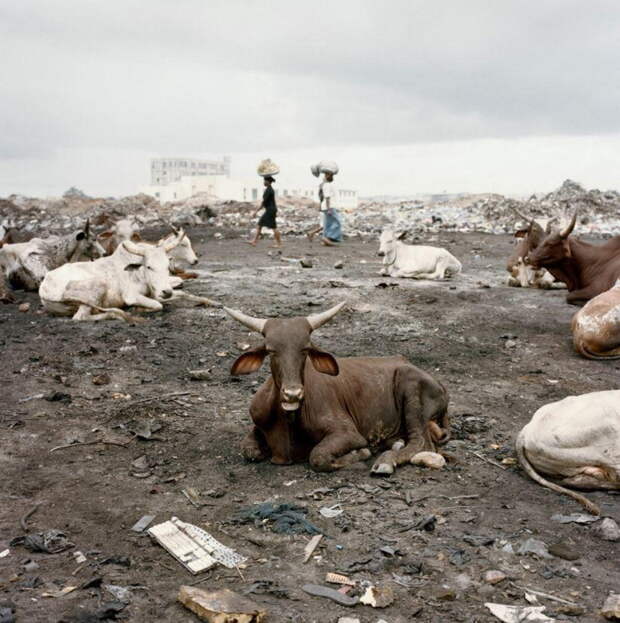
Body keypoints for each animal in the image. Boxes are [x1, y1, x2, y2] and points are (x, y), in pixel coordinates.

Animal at [38, 233, 218, 324]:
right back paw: (116, 315)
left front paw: (211, 302)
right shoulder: (132, 296)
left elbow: (186, 294)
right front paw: (139, 309)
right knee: (80, 317)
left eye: (168, 265)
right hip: (94, 290)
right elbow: (157, 305)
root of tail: (44, 288)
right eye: (149, 266)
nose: (166, 292)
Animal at [225, 302, 448, 472]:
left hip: (410, 387)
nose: (292, 394)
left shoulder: (348, 434)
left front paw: (361, 453)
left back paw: (386, 461)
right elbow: (249, 450)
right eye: (271, 351)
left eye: (305, 349)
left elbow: (318, 456)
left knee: (421, 442)